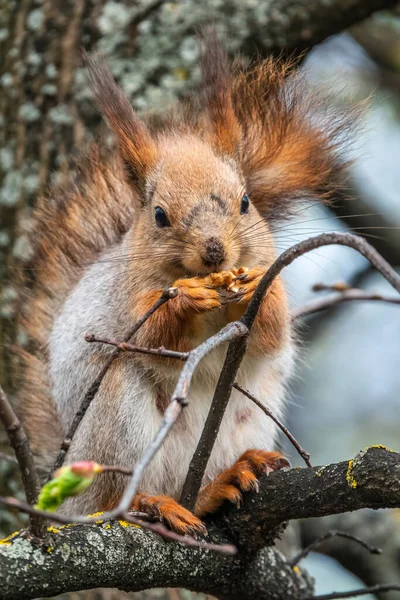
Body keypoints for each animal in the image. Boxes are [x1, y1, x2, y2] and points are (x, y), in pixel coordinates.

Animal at [17, 36, 352, 536]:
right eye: (159, 215)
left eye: (245, 201)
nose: (215, 252)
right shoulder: (124, 304)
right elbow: (155, 337)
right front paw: (186, 301)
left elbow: (270, 334)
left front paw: (260, 290)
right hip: (115, 425)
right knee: (118, 497)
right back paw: (153, 504)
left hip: (244, 422)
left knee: (197, 490)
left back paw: (226, 480)